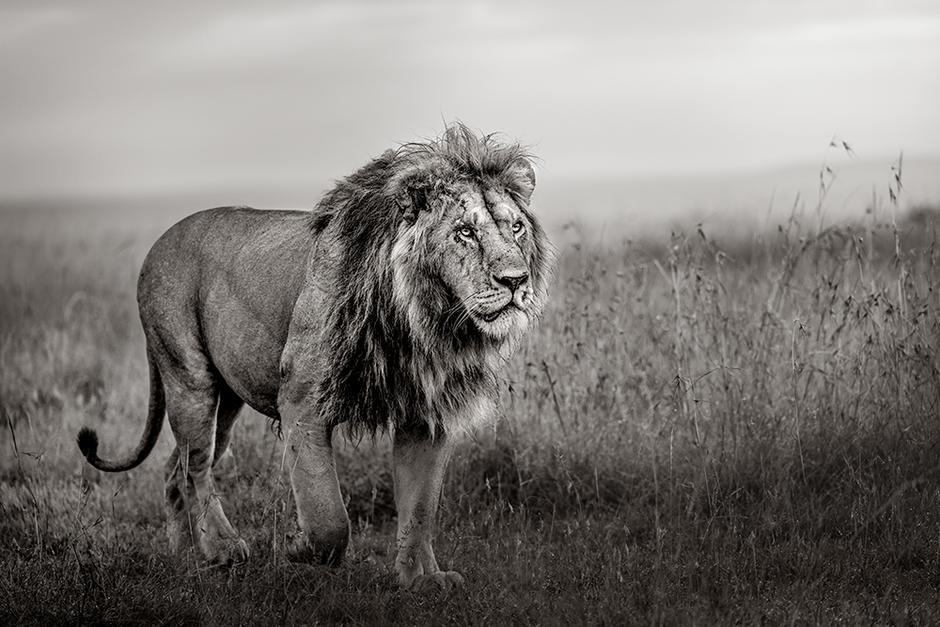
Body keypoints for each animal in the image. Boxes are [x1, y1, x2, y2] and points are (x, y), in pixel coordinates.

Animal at [76, 123, 552, 591]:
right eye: (465, 231)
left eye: (515, 228)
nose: (515, 280)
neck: (420, 320)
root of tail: (160, 240)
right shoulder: (302, 404)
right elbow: (329, 519)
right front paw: (297, 547)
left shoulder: (426, 415)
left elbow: (419, 509)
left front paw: (421, 578)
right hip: (189, 379)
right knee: (196, 468)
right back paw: (223, 548)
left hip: (226, 401)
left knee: (177, 470)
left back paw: (185, 556)